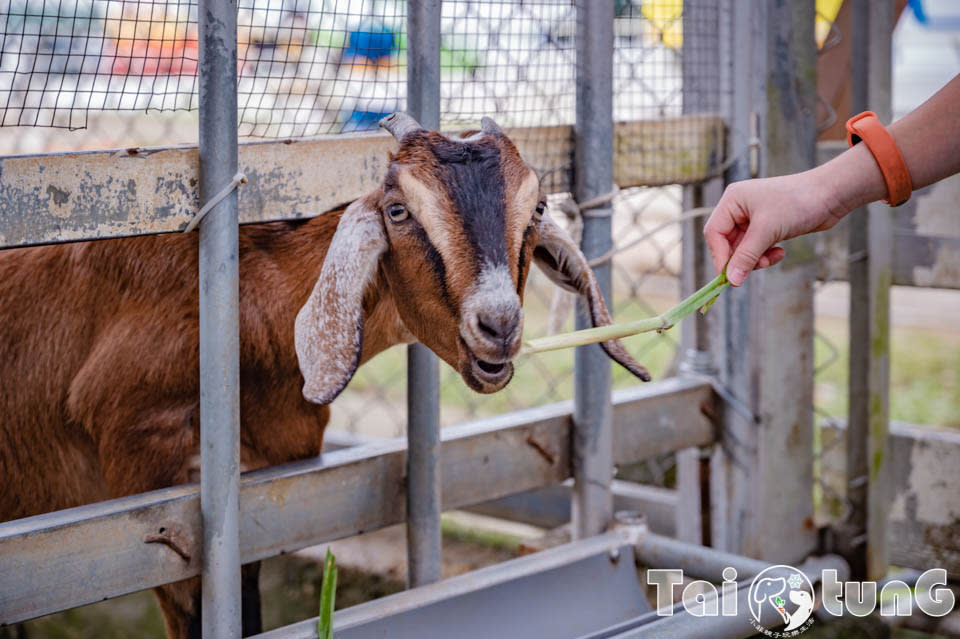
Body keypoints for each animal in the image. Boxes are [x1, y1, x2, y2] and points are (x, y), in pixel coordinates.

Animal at [0, 112, 648, 636]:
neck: (245, 299)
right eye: (397, 211)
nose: (498, 326)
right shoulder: (149, 479)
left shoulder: (269, 474)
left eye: (536, 208)